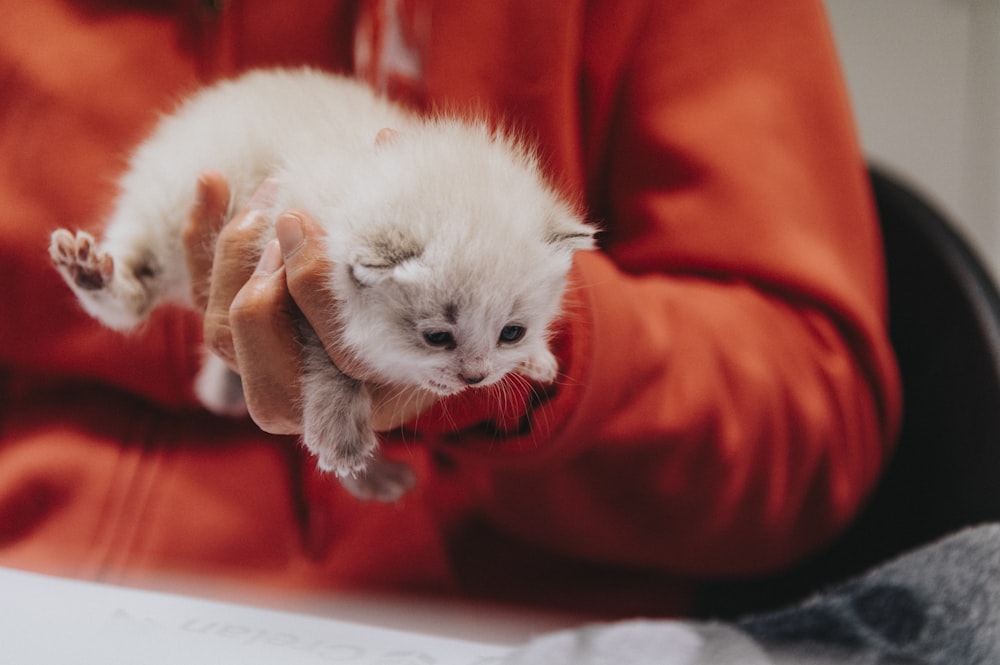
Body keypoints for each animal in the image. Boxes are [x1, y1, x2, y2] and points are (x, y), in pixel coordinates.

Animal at [48, 70, 592, 500]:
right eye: (437, 337)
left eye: (511, 332)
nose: (475, 378)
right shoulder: (285, 264)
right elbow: (329, 361)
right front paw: (341, 433)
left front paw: (536, 358)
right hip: (162, 211)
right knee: (134, 296)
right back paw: (91, 272)